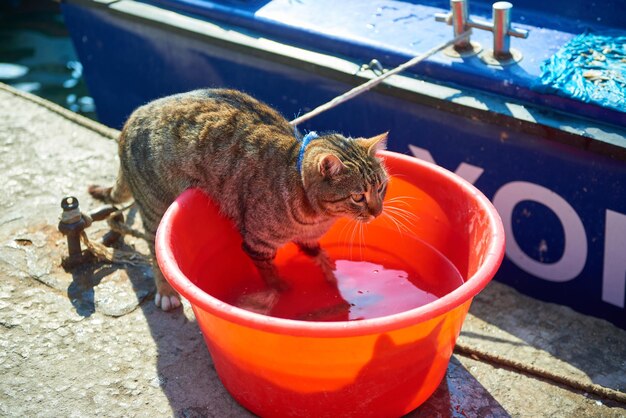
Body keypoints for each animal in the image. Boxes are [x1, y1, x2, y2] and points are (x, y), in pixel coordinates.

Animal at [89, 88, 386, 310]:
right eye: (358, 196)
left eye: (381, 187)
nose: (378, 211)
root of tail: (132, 118)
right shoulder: (257, 245)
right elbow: (272, 276)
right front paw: (285, 290)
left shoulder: (309, 238)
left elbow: (317, 253)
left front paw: (329, 272)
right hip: (155, 207)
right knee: (153, 250)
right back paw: (165, 291)